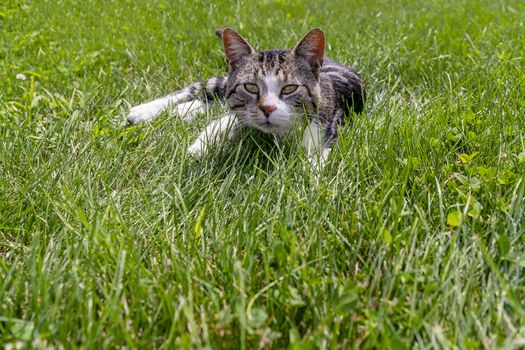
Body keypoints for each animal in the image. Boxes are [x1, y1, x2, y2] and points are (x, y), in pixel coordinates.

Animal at [127, 27, 364, 165]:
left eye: (289, 88)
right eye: (251, 87)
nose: (267, 109)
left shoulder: (333, 119)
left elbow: (318, 149)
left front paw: (311, 173)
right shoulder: (241, 109)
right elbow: (223, 120)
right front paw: (199, 147)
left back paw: (186, 110)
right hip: (222, 82)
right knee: (200, 89)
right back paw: (143, 111)